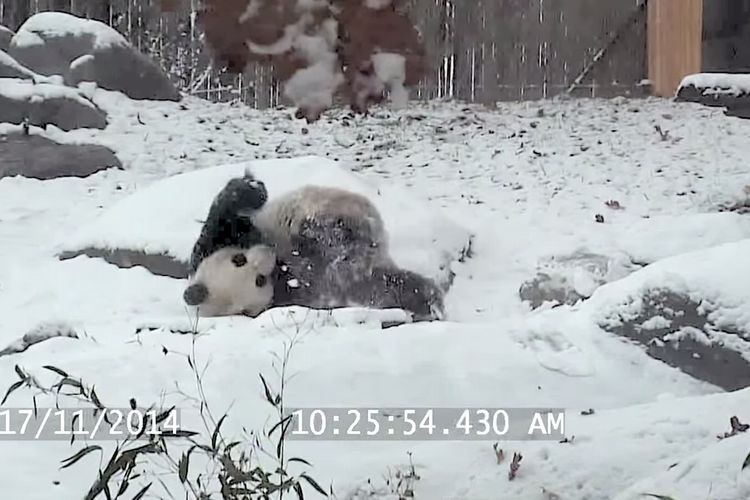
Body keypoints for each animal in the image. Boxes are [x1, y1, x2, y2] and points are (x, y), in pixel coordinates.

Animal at [182, 171, 446, 320]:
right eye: (259, 280)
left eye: (239, 259)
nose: (268, 255)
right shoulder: (296, 290)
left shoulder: (215, 242)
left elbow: (225, 211)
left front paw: (252, 187)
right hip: (362, 272)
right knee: (384, 282)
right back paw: (427, 299)